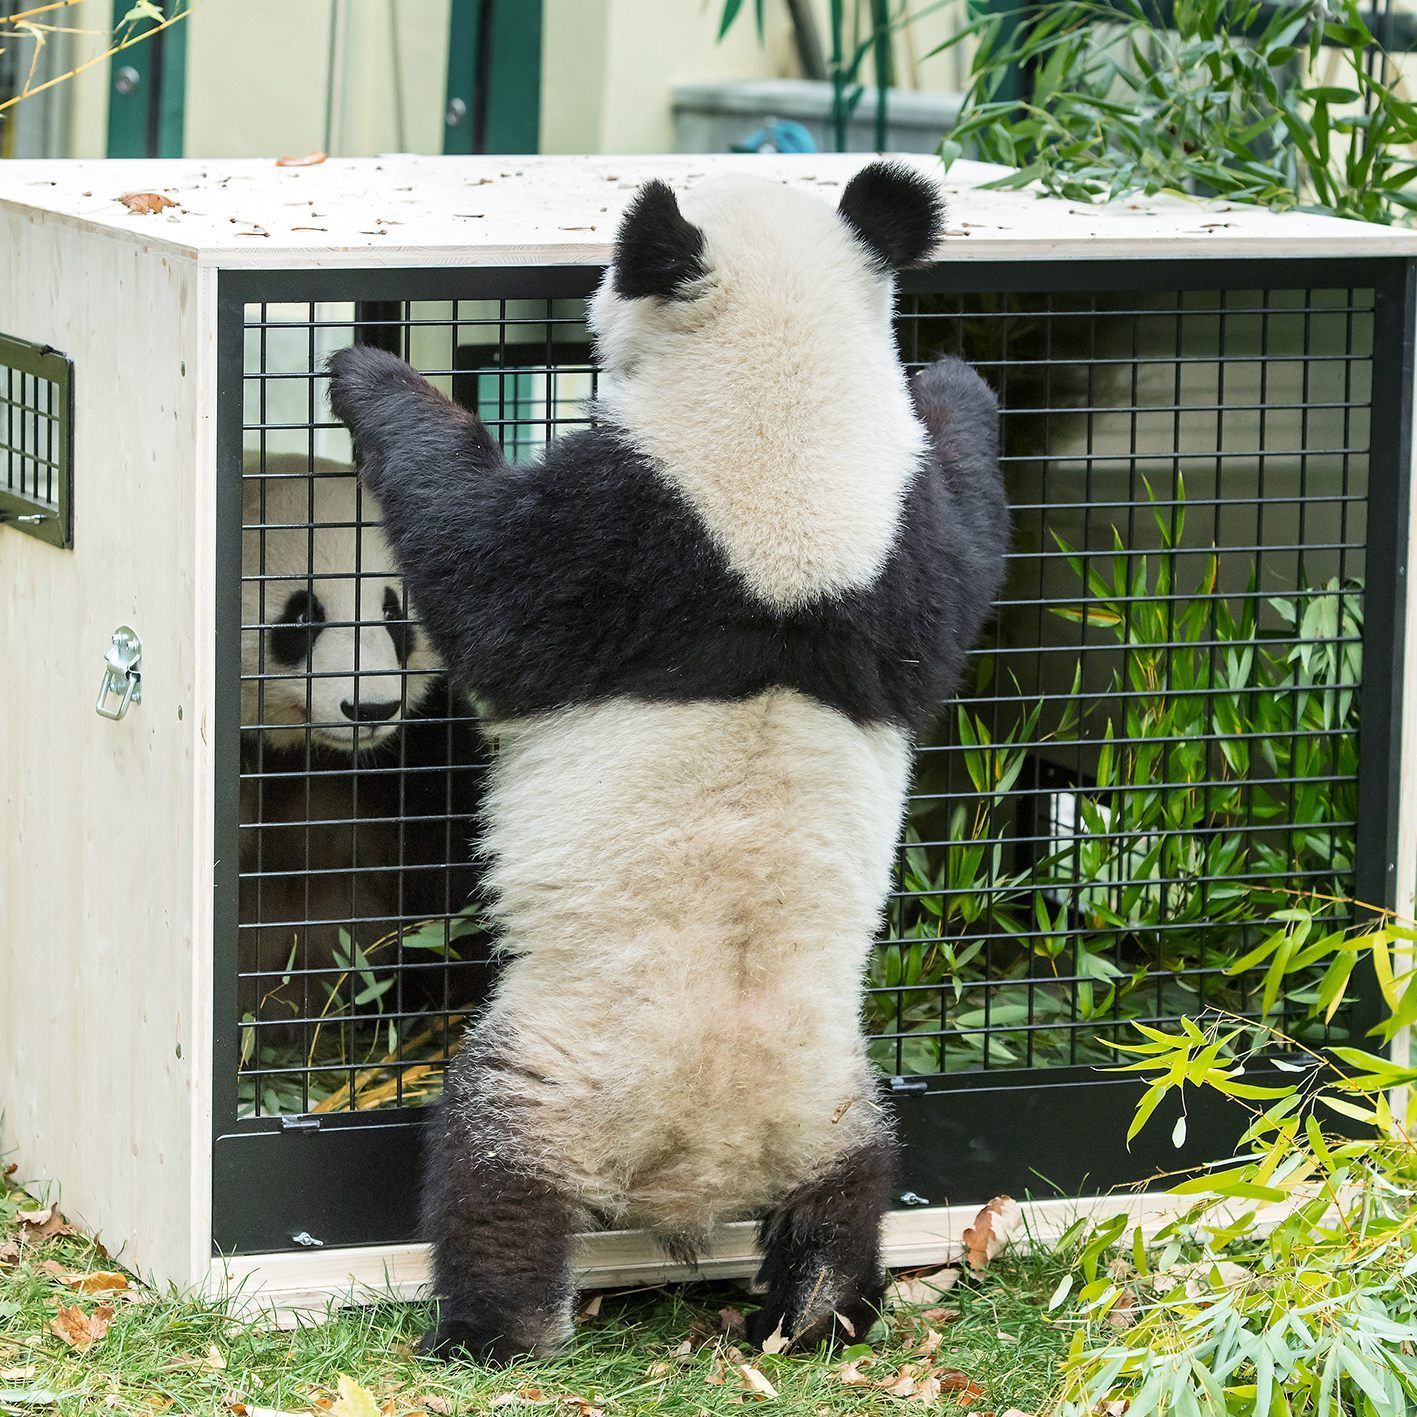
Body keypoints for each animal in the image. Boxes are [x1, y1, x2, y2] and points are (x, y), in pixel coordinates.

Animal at [238, 457, 491, 1032]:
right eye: (302, 616)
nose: (370, 709)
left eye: (394, 613)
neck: (314, 752)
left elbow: (461, 868)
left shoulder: (422, 744)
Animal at [326, 161, 1010, 1362]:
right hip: (834, 1090)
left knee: (491, 1178)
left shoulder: (627, 528)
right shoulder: (900, 559)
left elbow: (480, 580)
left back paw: (488, 1329)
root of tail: (700, 1167)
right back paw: (819, 1306)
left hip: (559, 1068)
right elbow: (966, 543)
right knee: (853, 1187)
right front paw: (958, 385)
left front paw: (367, 376)